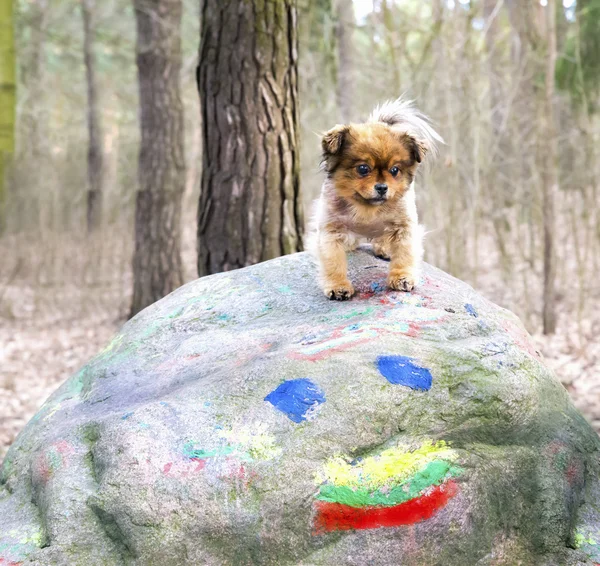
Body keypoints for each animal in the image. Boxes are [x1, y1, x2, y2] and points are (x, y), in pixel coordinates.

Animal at [314, 97, 440, 302]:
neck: (367, 209)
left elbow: (404, 253)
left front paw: (401, 277)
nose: (382, 187)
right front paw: (338, 286)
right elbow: (334, 262)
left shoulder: (403, 226)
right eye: (363, 169)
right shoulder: (331, 232)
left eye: (395, 170)